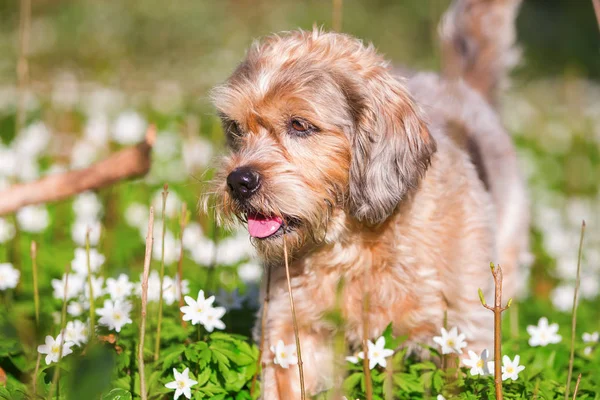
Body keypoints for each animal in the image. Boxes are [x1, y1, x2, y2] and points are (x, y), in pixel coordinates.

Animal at [209, 0, 528, 396]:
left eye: (299, 125)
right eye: (236, 128)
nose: (238, 182)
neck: (352, 241)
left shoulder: (464, 330)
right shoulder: (292, 331)